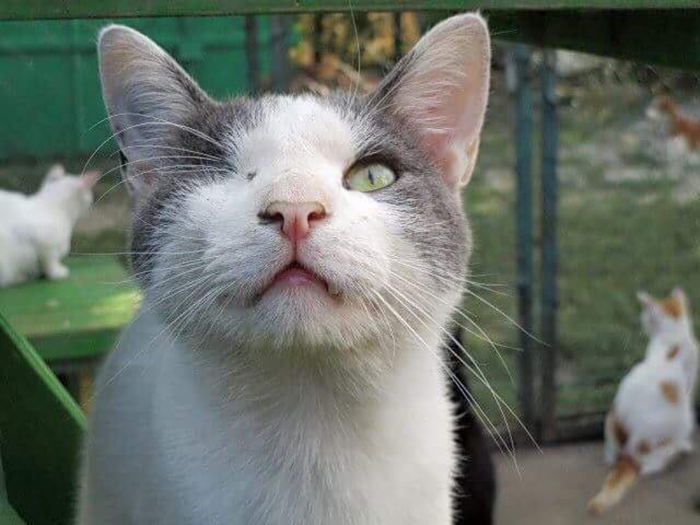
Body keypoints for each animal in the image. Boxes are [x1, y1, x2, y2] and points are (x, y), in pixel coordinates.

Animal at [588, 284, 696, 512]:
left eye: (645, 317)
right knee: (651, 467)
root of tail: (628, 453)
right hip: (683, 417)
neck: (671, 337)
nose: (642, 325)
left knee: (610, 458)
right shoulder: (689, 385)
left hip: (610, 418)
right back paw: (680, 449)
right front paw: (686, 445)